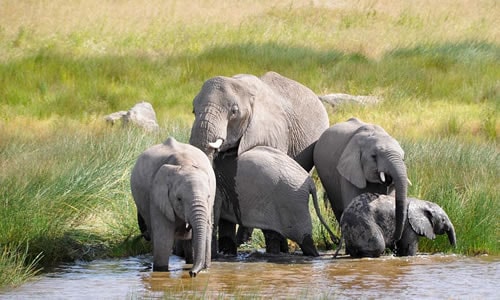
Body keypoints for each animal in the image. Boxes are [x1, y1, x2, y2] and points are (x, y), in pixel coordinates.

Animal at [129, 137, 215, 278]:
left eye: (208, 197)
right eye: (179, 199)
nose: (192, 273)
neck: (185, 163)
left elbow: (205, 236)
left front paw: (205, 269)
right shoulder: (157, 198)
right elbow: (164, 241)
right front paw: (161, 272)